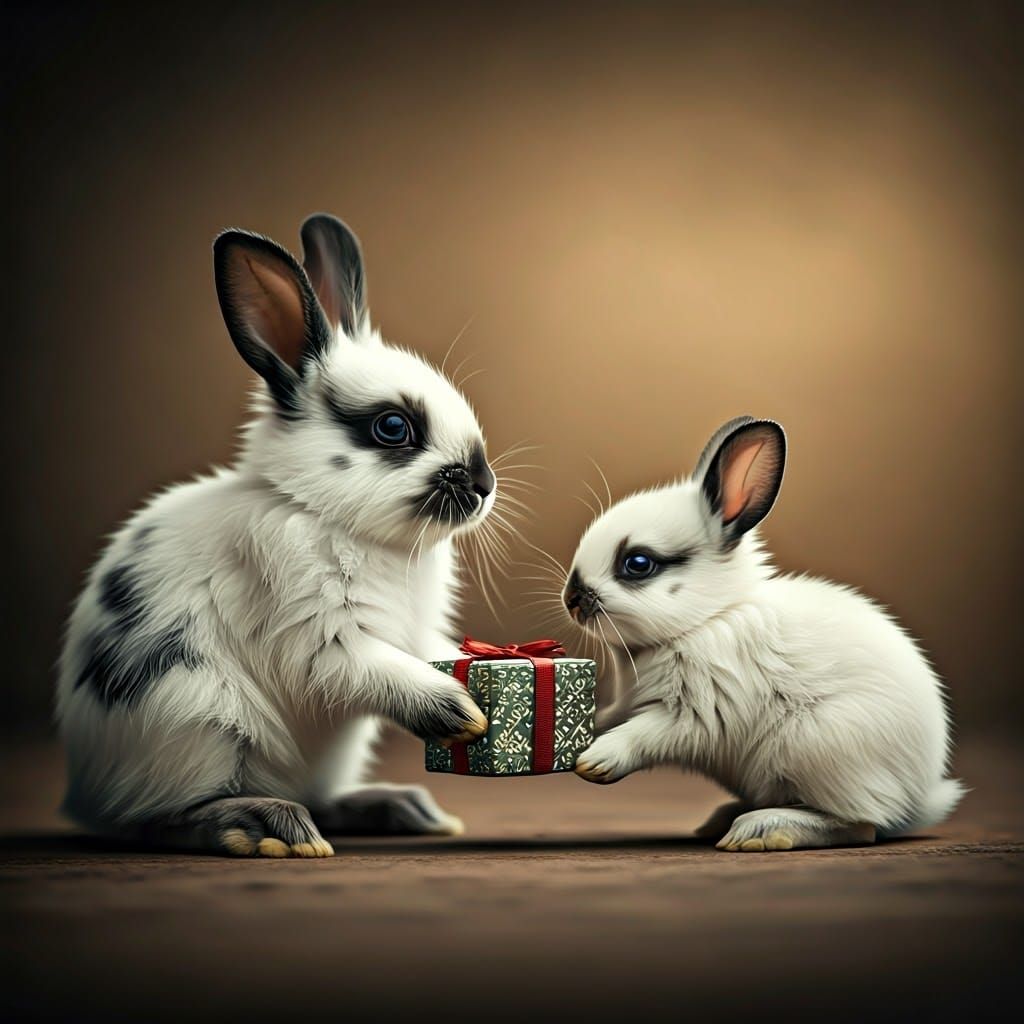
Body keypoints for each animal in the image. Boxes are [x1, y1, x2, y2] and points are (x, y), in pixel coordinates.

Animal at [56, 214, 500, 857]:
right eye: (393, 427)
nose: (485, 484)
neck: (324, 515)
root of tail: (82, 797)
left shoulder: (416, 635)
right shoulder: (317, 639)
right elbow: (374, 672)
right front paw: (459, 711)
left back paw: (400, 808)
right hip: (196, 720)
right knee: (160, 818)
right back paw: (264, 826)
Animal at [563, 416, 963, 851]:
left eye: (637, 563)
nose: (571, 599)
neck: (708, 618)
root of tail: (916, 799)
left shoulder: (699, 714)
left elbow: (647, 733)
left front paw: (595, 761)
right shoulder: (629, 702)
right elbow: (612, 716)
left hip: (814, 746)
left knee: (860, 825)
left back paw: (758, 830)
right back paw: (722, 820)